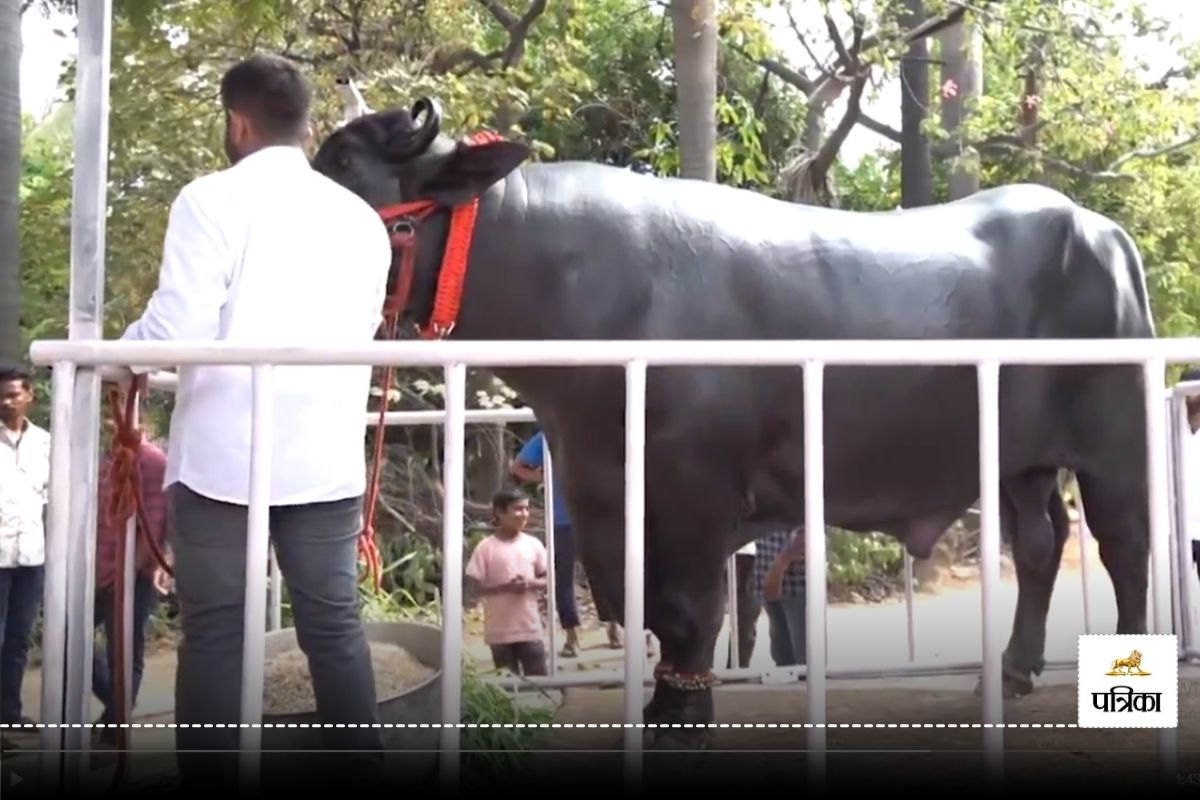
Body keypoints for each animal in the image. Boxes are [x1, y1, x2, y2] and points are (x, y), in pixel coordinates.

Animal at [314, 101, 1156, 753]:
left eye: (346, 158)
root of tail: (1104, 232)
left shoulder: (694, 486)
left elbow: (687, 608)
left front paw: (682, 716)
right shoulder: (601, 485)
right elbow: (641, 603)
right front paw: (665, 700)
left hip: (1114, 441)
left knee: (1124, 544)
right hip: (1018, 460)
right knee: (1041, 543)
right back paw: (1009, 671)